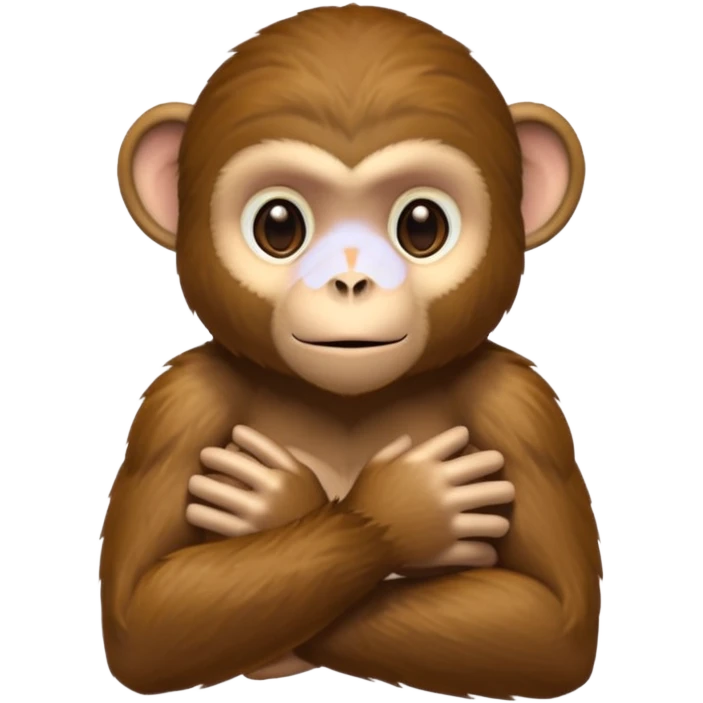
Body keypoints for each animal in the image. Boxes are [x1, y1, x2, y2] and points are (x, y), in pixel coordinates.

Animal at [100, 4, 602, 700]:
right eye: (278, 225)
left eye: (422, 225)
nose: (350, 280)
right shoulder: (178, 404)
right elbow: (146, 616)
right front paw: (394, 509)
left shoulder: (523, 407)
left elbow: (552, 624)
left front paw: (329, 507)